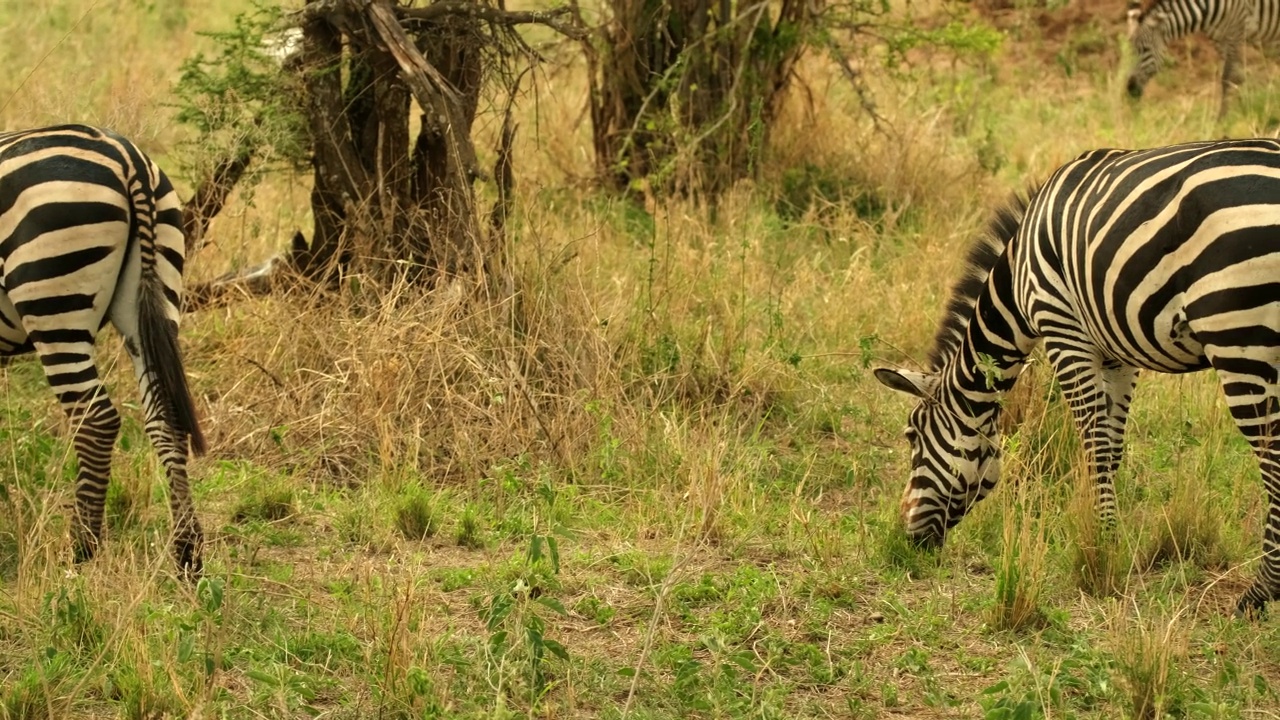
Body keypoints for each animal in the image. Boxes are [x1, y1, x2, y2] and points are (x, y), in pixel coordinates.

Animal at [0, 121, 204, 571]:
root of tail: (126, 156)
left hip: (53, 299)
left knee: (96, 420)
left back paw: (82, 548)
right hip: (152, 298)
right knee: (165, 418)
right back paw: (188, 551)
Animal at [880, 139, 1280, 609]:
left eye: (912, 436)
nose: (908, 540)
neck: (1017, 273)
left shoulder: (1063, 330)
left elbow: (1095, 445)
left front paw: (1102, 547)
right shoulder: (1118, 354)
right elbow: (1113, 447)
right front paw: (1107, 535)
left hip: (1236, 334)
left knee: (1272, 456)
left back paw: (1260, 593)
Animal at [1126, 0, 1280, 114]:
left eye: (1145, 50)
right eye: (1132, 51)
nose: (1130, 89)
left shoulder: (1236, 30)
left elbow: (1228, 77)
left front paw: (1222, 118)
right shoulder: (1219, 38)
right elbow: (1237, 75)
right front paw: (1243, 107)